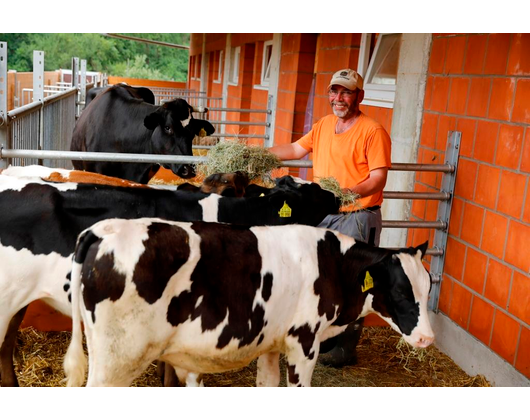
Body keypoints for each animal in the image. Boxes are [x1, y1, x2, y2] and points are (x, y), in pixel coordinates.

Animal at [63, 220, 434, 388]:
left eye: (428, 289)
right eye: (401, 292)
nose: (428, 338)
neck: (331, 263)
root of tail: (103, 229)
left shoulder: (271, 343)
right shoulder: (304, 343)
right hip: (117, 359)